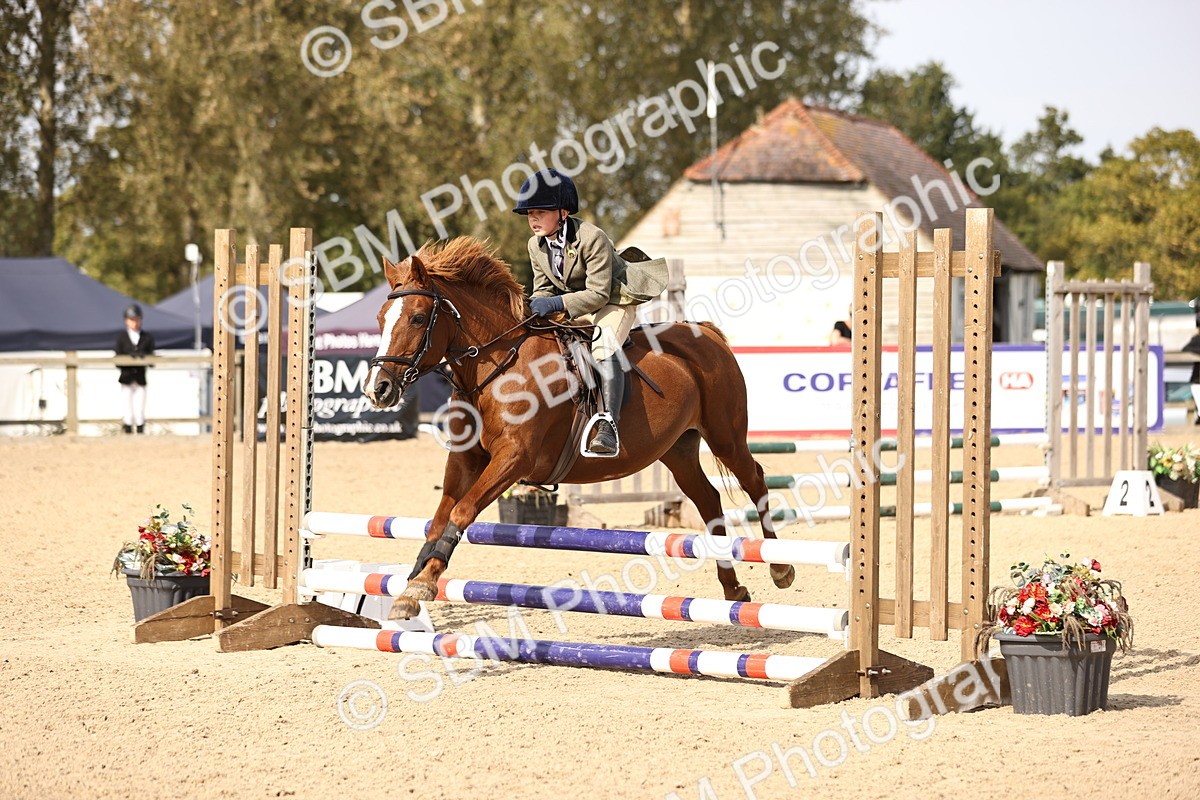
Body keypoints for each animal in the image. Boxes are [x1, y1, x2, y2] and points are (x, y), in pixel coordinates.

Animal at [365, 237, 794, 619]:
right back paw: (732, 589)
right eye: (380, 320)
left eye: (418, 318)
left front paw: (422, 585)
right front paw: (410, 586)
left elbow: (462, 512)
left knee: (753, 479)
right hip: (678, 449)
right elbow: (438, 522)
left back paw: (780, 567)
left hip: (725, 435)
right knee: (708, 500)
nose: (377, 389)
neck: (496, 368)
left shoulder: (514, 458)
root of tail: (705, 332)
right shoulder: (465, 460)